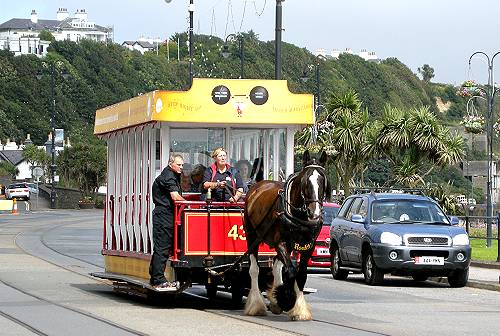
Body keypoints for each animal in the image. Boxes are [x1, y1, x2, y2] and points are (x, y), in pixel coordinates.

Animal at [241, 152, 328, 320]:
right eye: (305, 181)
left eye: (322, 180)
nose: (314, 214)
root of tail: (258, 185)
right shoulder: (281, 243)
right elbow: (292, 271)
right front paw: (287, 300)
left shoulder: (308, 246)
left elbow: (301, 274)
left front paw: (299, 309)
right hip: (252, 236)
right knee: (254, 269)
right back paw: (256, 305)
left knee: (276, 266)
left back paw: (274, 302)